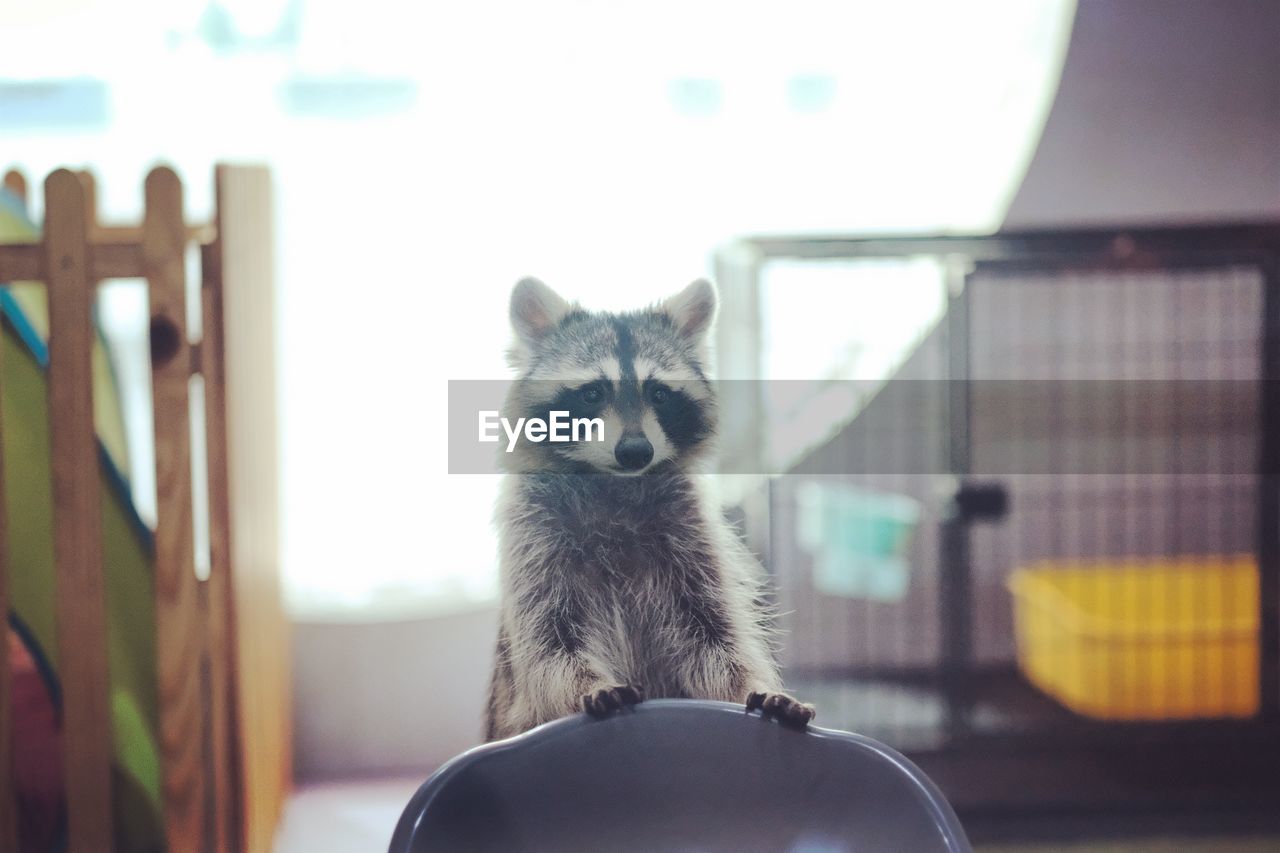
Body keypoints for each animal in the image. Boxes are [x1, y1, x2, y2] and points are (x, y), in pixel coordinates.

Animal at [481, 274, 808, 737]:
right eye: (592, 392)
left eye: (659, 393)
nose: (636, 451)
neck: (614, 483)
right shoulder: (533, 537)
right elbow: (549, 647)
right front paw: (589, 683)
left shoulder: (691, 536)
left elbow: (713, 640)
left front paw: (751, 684)